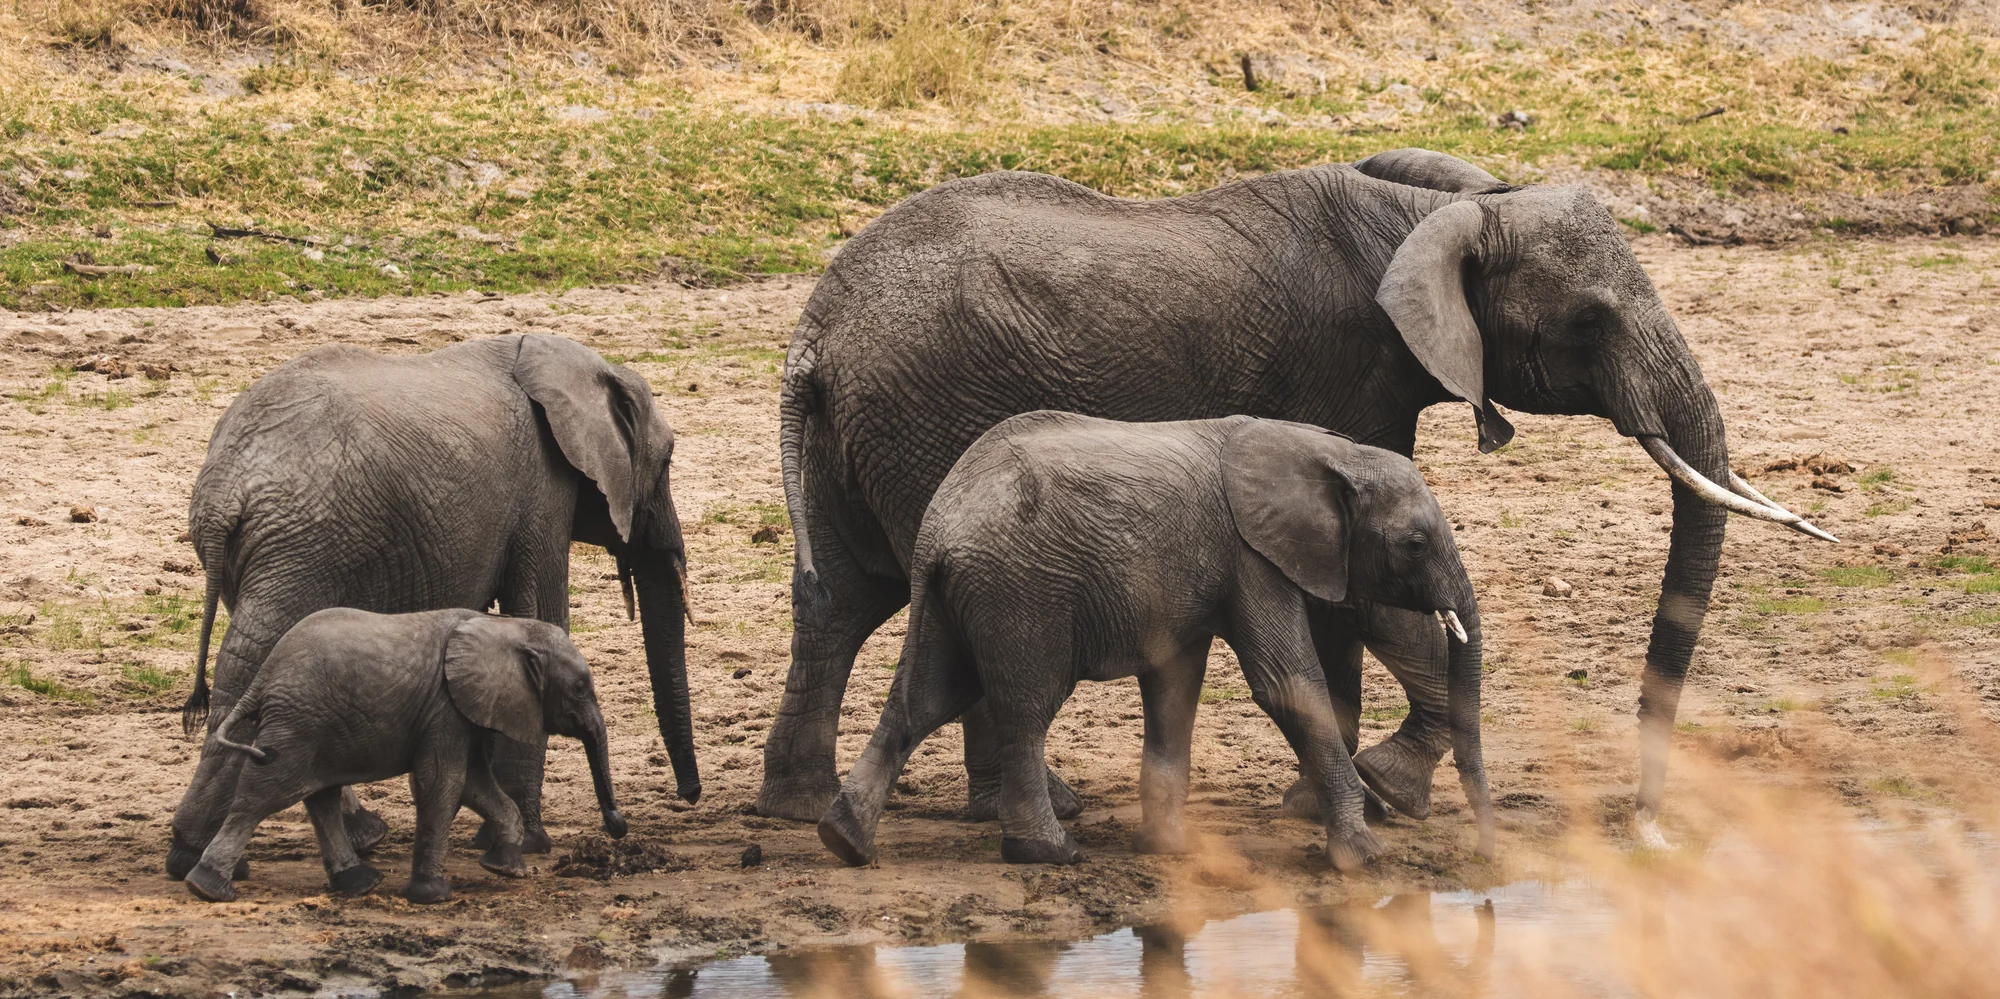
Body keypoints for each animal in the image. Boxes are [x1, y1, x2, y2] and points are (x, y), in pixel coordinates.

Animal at [184, 608, 628, 904]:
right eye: (580, 689)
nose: (617, 827)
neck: (505, 627)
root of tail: (261, 679)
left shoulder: (463, 711)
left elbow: (474, 785)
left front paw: (506, 868)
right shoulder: (445, 707)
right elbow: (441, 782)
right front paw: (433, 896)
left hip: (312, 726)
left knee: (319, 796)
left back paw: (360, 884)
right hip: (297, 724)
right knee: (264, 794)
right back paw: (207, 888)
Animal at [817, 413, 1493, 870]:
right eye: (1415, 544)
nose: (1487, 847)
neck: (1326, 451)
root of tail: (936, 529)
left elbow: (1174, 687)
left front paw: (1168, 849)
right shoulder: (1252, 556)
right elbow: (1286, 686)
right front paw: (1366, 857)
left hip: (956, 598)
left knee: (924, 701)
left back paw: (844, 842)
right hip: (1021, 594)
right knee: (1025, 710)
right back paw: (1049, 852)